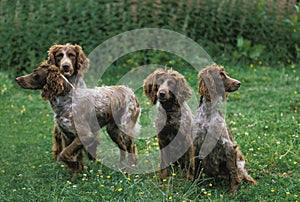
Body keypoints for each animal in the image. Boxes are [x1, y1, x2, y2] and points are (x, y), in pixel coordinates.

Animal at [193, 63, 256, 196]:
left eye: (226, 73)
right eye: (221, 74)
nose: (239, 83)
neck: (208, 112)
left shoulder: (228, 146)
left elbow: (233, 173)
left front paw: (233, 192)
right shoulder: (196, 143)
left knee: (243, 176)